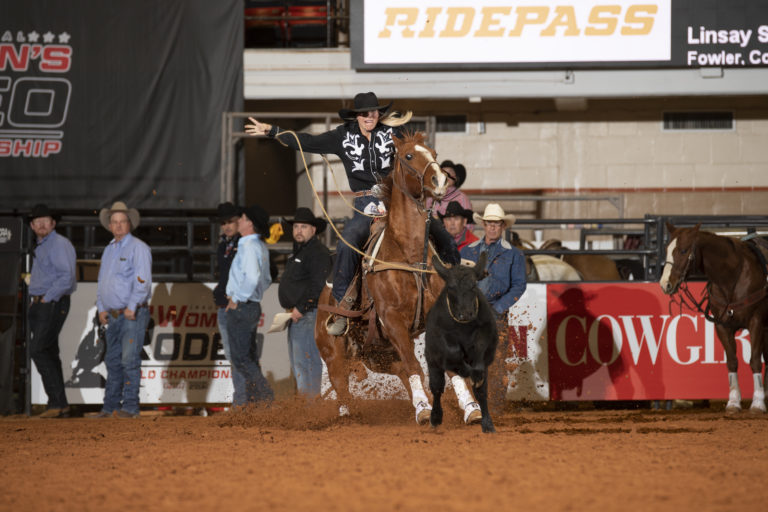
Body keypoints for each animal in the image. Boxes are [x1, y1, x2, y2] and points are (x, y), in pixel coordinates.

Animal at [314, 131, 480, 424]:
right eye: (409, 156)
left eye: (434, 154)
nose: (440, 181)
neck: (409, 255)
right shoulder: (392, 320)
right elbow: (416, 365)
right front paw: (424, 411)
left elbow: (446, 367)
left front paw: (470, 408)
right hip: (334, 353)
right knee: (341, 384)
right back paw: (348, 416)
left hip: (379, 353)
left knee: (402, 371)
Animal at [424, 252, 500, 432]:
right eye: (451, 287)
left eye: (473, 285)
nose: (465, 314)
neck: (463, 327)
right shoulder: (440, 342)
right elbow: (452, 352)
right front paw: (465, 368)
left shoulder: (485, 330)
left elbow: (479, 349)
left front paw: (475, 372)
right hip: (432, 361)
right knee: (437, 388)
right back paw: (435, 417)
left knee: (481, 391)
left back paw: (487, 423)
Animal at [660, 223, 768, 412]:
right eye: (667, 249)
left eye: (683, 250)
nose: (665, 284)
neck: (732, 277)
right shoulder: (722, 326)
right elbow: (732, 361)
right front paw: (733, 401)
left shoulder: (756, 323)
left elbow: (755, 360)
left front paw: (758, 402)